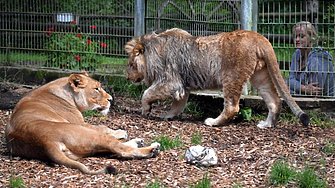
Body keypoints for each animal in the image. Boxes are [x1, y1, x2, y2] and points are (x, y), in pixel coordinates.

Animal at [4, 71, 160, 174]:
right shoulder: (80, 122)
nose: (111, 99)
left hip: (81, 150)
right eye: (96, 88)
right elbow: (102, 127)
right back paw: (152, 149)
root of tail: (45, 142)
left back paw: (139, 142)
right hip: (85, 133)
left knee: (110, 149)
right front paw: (120, 131)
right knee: (121, 149)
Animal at [126, 27, 312, 129]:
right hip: (261, 76)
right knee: (275, 101)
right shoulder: (182, 85)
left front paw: (146, 109)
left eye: (131, 64)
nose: (127, 78)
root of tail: (259, 37)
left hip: (231, 76)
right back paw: (267, 125)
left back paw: (213, 122)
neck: (154, 50)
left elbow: (147, 93)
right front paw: (168, 116)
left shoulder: (171, 81)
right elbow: (177, 104)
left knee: (232, 107)